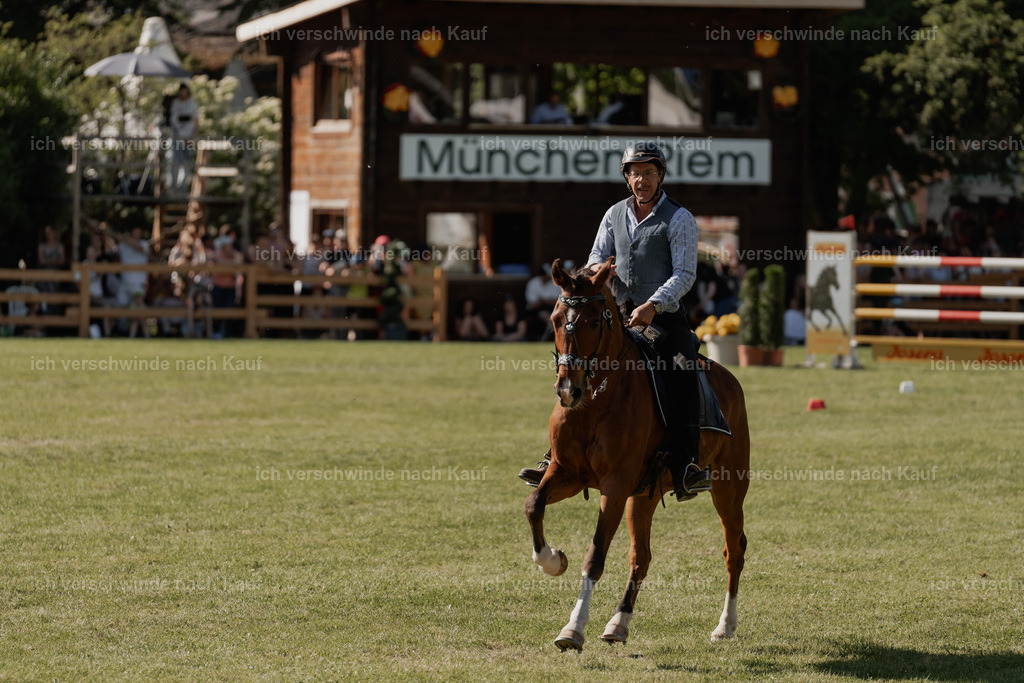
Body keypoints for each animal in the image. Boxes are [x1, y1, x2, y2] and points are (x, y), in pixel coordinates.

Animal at [524, 257, 750, 651]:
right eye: (554, 318)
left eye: (594, 321)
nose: (568, 389)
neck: (595, 401)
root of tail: (731, 382)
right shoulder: (567, 473)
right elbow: (534, 505)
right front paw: (552, 560)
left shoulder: (614, 486)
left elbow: (595, 555)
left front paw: (573, 629)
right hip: (644, 496)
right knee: (640, 557)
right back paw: (619, 623)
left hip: (728, 490)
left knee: (733, 550)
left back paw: (726, 625)